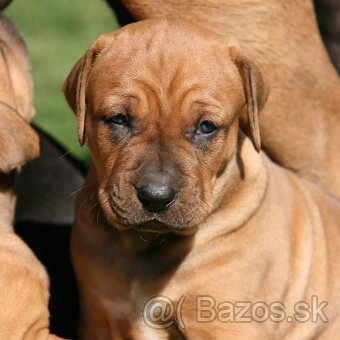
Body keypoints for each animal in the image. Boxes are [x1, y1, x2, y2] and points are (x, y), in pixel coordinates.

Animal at [63, 19, 340, 338]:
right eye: (118, 119)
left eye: (206, 127)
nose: (155, 197)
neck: (148, 246)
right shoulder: (97, 317)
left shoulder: (225, 322)